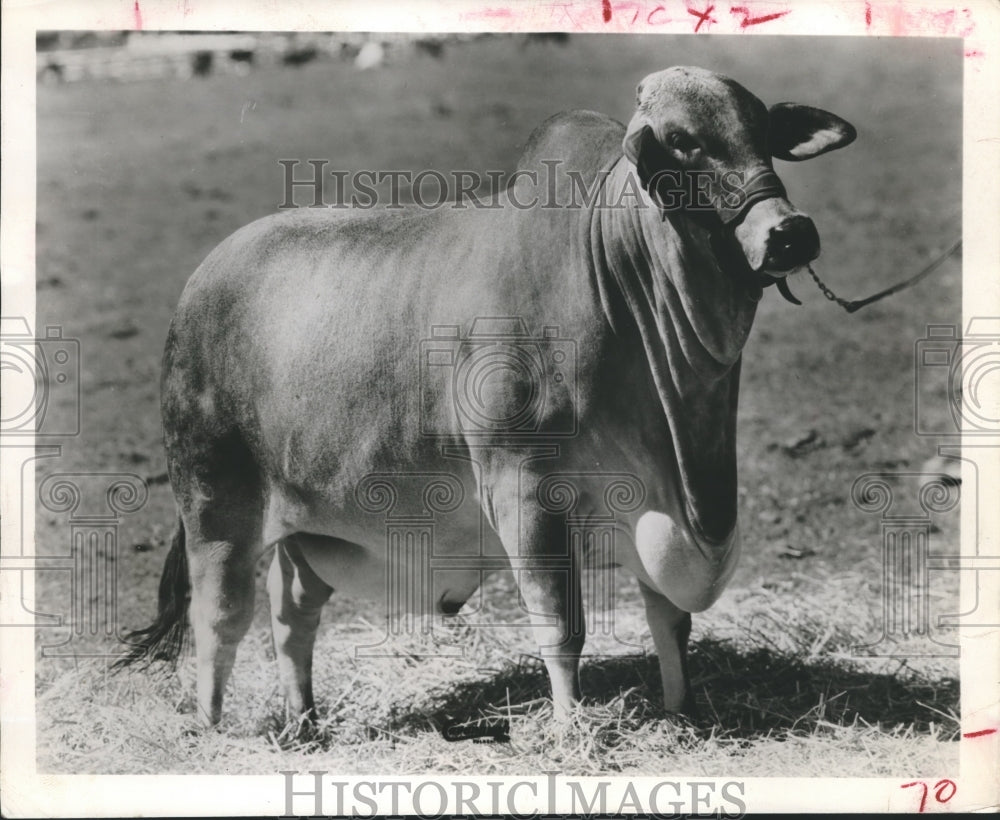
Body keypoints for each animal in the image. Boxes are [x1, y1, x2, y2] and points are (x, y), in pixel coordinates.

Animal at [117, 66, 855, 728]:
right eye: (682, 141)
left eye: (762, 130)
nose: (790, 232)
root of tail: (205, 276)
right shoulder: (522, 487)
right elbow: (561, 625)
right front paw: (569, 729)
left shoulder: (652, 493)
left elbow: (670, 620)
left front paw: (684, 711)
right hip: (214, 501)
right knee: (220, 617)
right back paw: (213, 730)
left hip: (307, 521)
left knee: (290, 611)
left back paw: (305, 724)